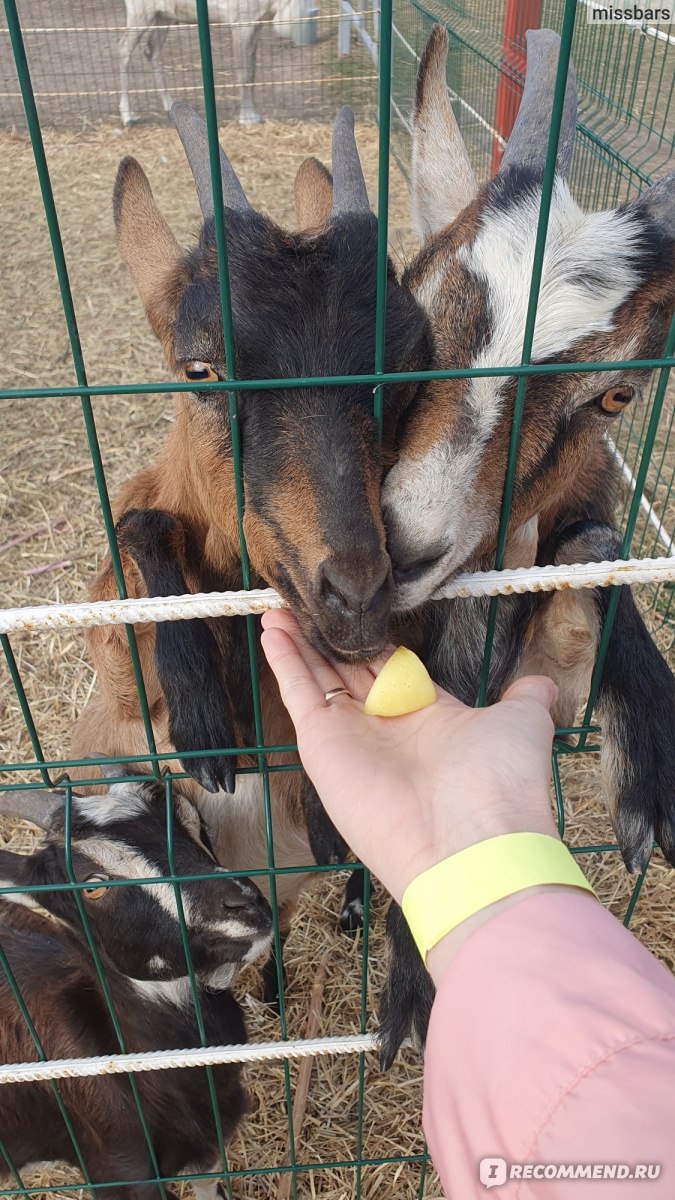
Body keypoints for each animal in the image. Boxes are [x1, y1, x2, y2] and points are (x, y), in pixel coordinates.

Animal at [121, 0, 307, 126]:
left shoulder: (257, 24)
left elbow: (252, 71)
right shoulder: (241, 25)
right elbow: (244, 74)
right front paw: (247, 117)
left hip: (164, 16)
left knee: (151, 50)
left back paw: (168, 104)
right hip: (139, 14)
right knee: (123, 50)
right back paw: (128, 115)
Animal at [372, 23, 672, 1065]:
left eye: (614, 396)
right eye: (409, 300)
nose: (399, 547)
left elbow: (597, 543)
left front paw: (651, 773)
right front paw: (407, 980)